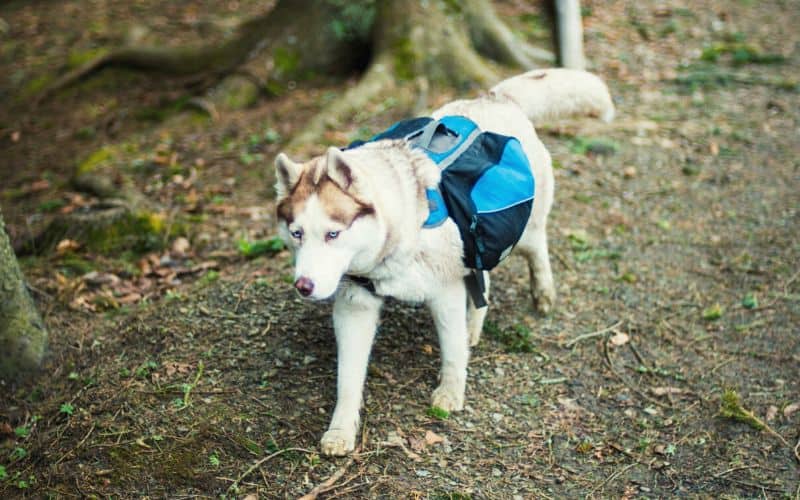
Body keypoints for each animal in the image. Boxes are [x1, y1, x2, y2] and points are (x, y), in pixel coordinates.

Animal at [272, 68, 616, 456]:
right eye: (297, 234)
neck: (402, 226)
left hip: (520, 232)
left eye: (333, 234)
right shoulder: (355, 304)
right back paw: (474, 327)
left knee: (536, 248)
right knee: (483, 280)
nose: (304, 286)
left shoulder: (445, 291)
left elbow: (451, 350)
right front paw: (341, 429)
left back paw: (541, 292)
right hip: (474, 245)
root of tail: (494, 98)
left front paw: (451, 392)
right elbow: (348, 377)